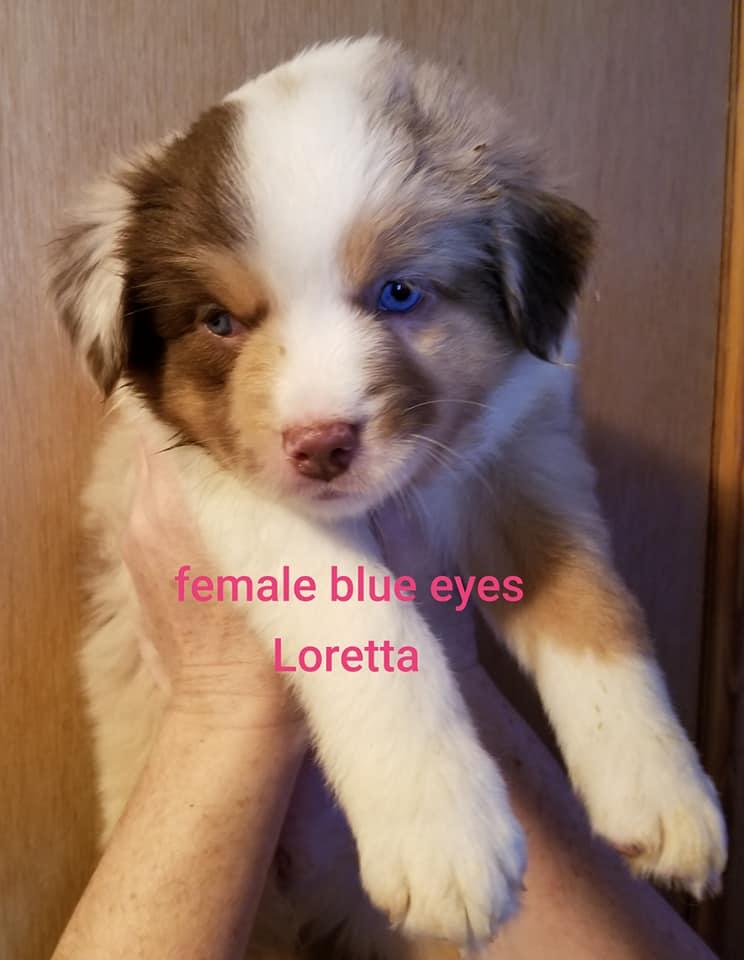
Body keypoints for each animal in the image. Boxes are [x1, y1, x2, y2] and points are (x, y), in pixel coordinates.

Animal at [49, 36, 726, 959]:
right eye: (219, 321)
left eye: (399, 293)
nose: (320, 446)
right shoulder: (230, 489)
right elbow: (362, 623)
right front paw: (444, 834)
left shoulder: (525, 457)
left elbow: (594, 604)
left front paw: (660, 790)